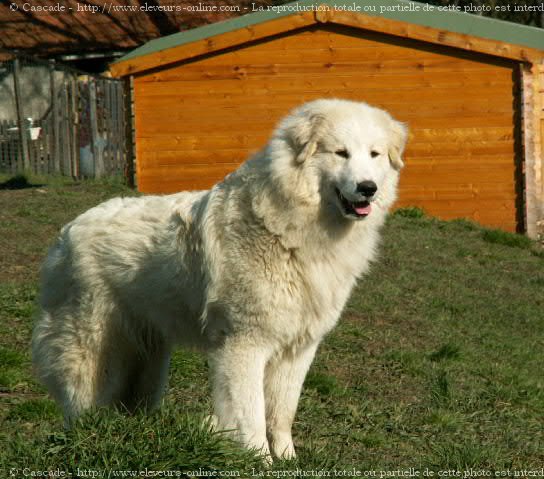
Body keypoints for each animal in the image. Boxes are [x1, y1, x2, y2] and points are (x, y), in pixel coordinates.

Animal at [31, 100, 406, 462]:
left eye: (374, 154)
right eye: (341, 153)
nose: (368, 189)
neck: (291, 227)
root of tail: (67, 231)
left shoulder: (298, 349)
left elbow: (282, 412)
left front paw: (288, 460)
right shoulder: (244, 344)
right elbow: (251, 413)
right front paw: (259, 461)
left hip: (150, 358)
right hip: (93, 351)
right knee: (80, 402)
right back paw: (86, 438)